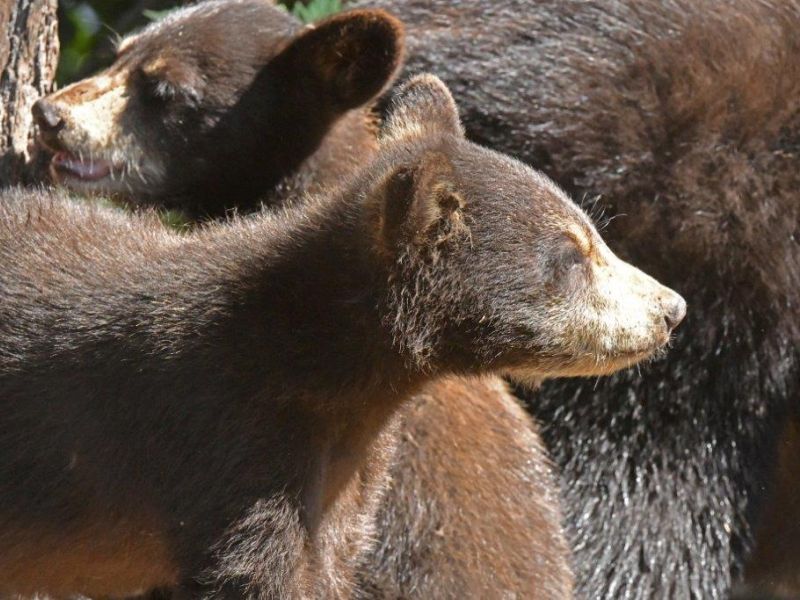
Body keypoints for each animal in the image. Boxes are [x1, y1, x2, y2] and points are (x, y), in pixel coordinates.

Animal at [0, 74, 685, 598]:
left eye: (593, 231)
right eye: (570, 255)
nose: (671, 308)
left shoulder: (344, 478)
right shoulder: (228, 447)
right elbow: (260, 571)